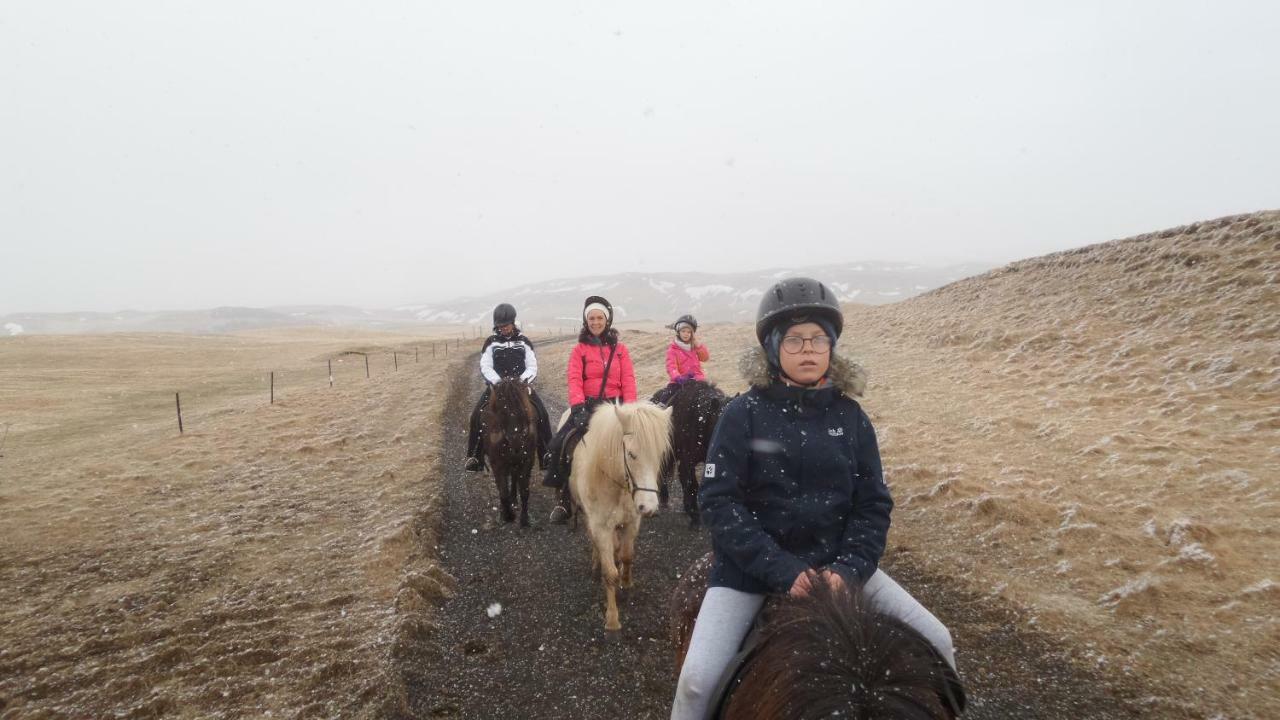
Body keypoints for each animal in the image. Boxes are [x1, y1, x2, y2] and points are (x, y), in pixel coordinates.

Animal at [481, 379, 537, 525]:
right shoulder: (497, 464)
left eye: (524, 409)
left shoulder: (526, 461)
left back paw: (514, 501)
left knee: (514, 476)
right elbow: (503, 491)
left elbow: (524, 491)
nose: (516, 443)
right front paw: (507, 515)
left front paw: (524, 519)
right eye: (502, 412)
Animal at [565, 399, 675, 630]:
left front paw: (627, 584)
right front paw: (612, 621)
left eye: (660, 454)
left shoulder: (632, 522)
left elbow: (627, 556)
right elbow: (610, 574)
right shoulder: (601, 526)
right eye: (631, 454)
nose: (649, 507)